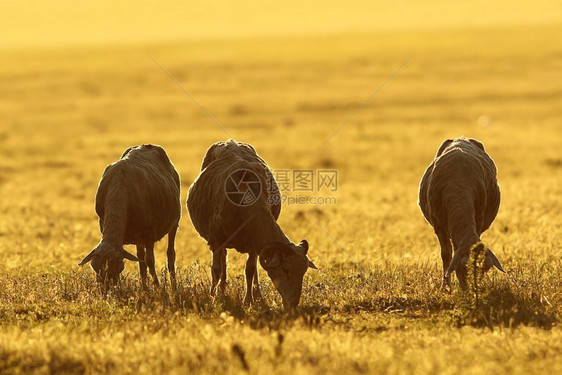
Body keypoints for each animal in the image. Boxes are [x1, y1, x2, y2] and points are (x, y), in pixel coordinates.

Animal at [77, 144, 179, 288]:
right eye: (94, 267)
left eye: (119, 267)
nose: (105, 289)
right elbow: (141, 262)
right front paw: (146, 288)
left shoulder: (149, 233)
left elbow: (150, 260)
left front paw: (158, 287)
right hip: (139, 238)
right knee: (140, 257)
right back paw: (145, 287)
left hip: (175, 221)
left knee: (170, 253)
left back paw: (174, 286)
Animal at [187, 140, 316, 310]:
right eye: (285, 269)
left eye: (303, 271)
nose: (292, 303)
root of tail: (230, 141)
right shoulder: (216, 241)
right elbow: (216, 270)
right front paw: (212, 297)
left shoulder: (254, 243)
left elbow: (250, 270)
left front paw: (249, 300)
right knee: (223, 262)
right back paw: (221, 291)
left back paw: (256, 295)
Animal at [416, 138, 504, 290]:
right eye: (463, 268)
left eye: (485, 270)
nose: (473, 290)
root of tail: (461, 139)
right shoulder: (438, 227)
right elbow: (446, 255)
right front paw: (445, 287)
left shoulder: (479, 220)